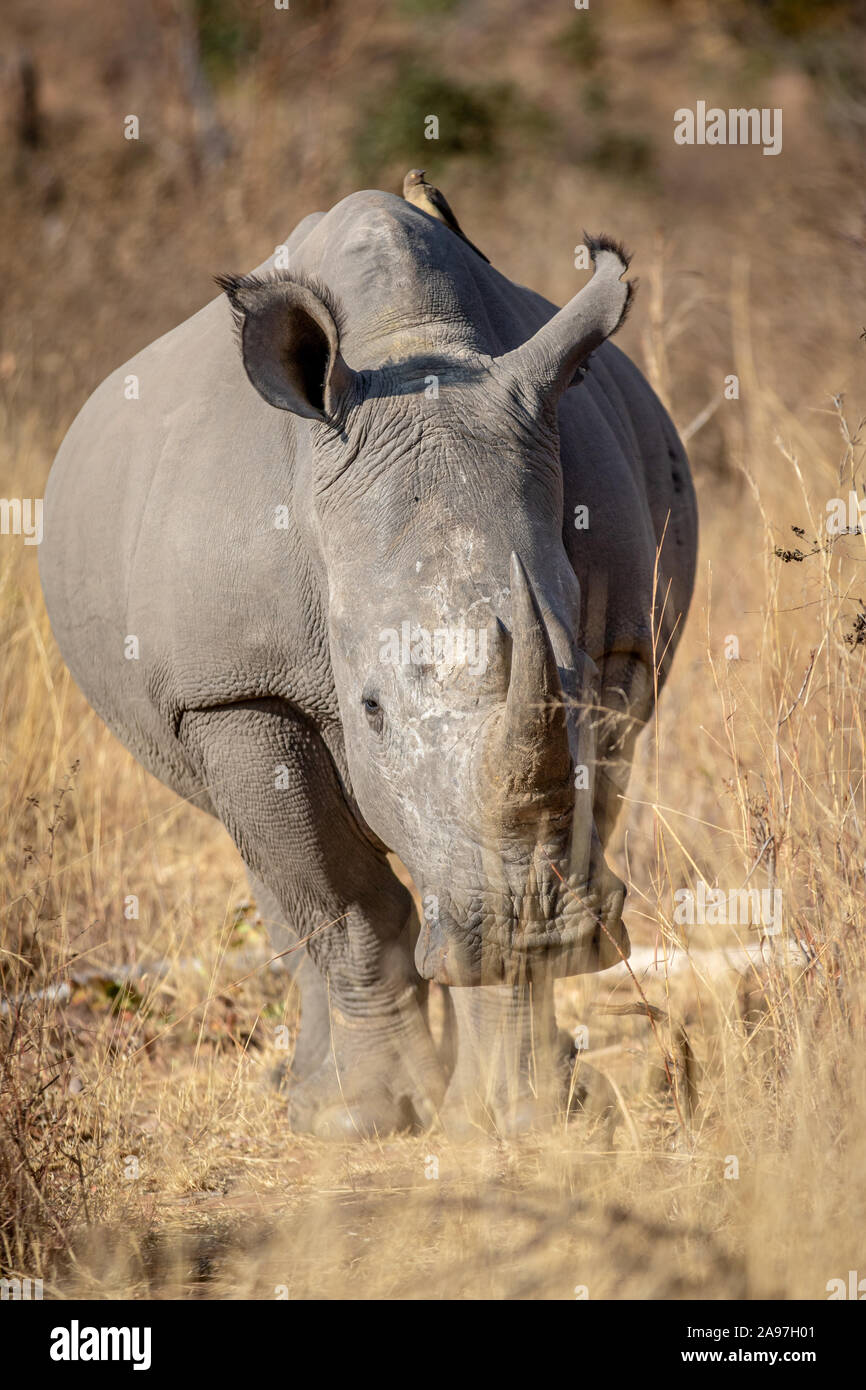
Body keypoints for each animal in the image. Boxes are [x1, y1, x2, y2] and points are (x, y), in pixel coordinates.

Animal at [40, 189, 697, 1138]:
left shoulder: (619, 649)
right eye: (372, 709)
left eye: (577, 687)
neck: (409, 347)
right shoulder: (236, 690)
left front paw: (523, 1118)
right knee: (277, 872)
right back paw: (313, 1100)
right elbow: (341, 900)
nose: (533, 925)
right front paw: (369, 1121)